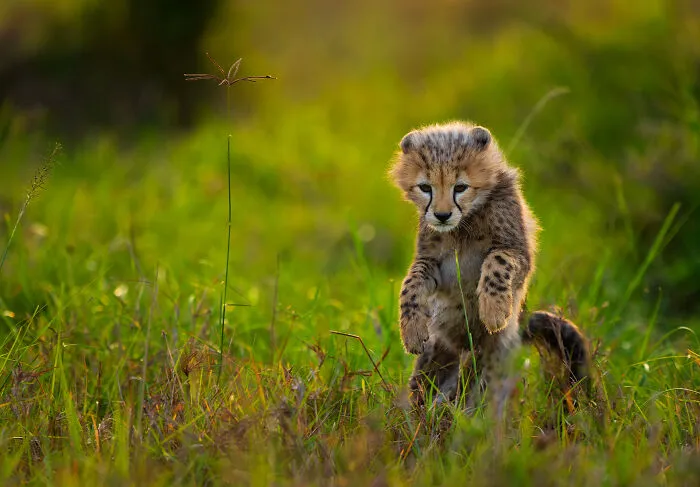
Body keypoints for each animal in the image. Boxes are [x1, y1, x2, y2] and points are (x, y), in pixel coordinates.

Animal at [389, 121, 590, 406]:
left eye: (460, 187)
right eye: (425, 187)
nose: (442, 215)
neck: (465, 224)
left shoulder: (517, 252)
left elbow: (497, 260)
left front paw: (494, 311)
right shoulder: (432, 261)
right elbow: (411, 283)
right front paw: (412, 330)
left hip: (490, 362)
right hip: (436, 359)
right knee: (426, 389)